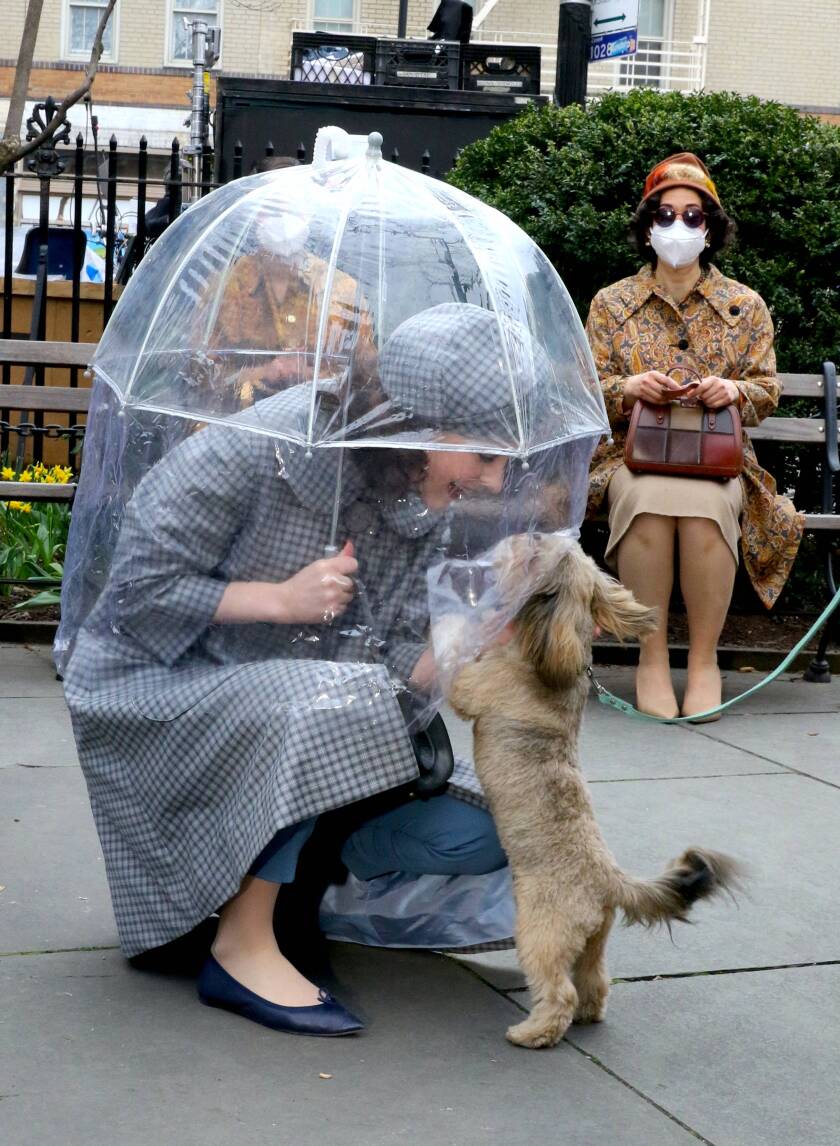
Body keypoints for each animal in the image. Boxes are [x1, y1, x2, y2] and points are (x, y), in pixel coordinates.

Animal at [449, 534, 738, 1049]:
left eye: (532, 548)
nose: (524, 532)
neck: (545, 658)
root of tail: (608, 879)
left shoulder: (478, 686)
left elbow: (462, 679)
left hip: (541, 933)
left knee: (557, 990)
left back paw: (533, 1032)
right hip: (591, 942)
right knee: (594, 981)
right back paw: (587, 1013)